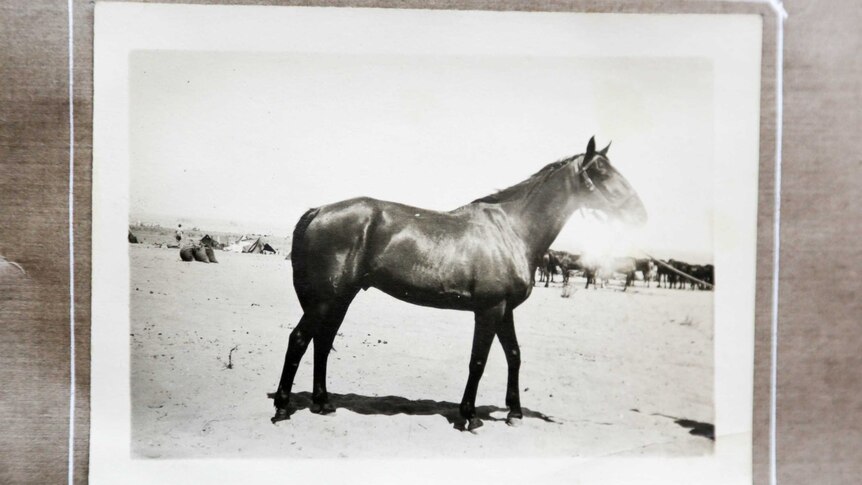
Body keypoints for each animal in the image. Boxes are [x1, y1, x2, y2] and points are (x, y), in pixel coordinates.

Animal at [270, 138, 648, 430]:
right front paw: (468, 416)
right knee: (299, 340)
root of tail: (319, 211)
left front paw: (514, 413)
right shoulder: (489, 309)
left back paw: (323, 404)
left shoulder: (505, 310)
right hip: (326, 298)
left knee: (322, 341)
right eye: (601, 172)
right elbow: (478, 361)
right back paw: (283, 408)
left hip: (340, 298)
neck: (511, 230)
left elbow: (514, 355)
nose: (640, 214)